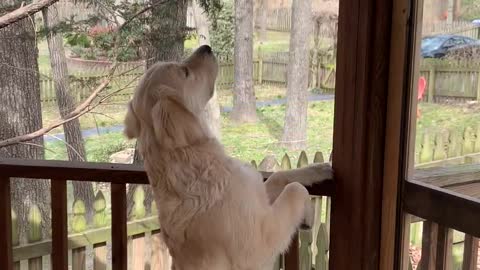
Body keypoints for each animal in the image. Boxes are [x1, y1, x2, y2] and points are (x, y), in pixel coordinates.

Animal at [124, 45, 334, 268]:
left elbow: (280, 176)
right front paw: (309, 215)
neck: (195, 158)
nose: (206, 47)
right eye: (185, 72)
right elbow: (295, 189)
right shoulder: (259, 244)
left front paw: (318, 169)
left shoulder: (257, 197)